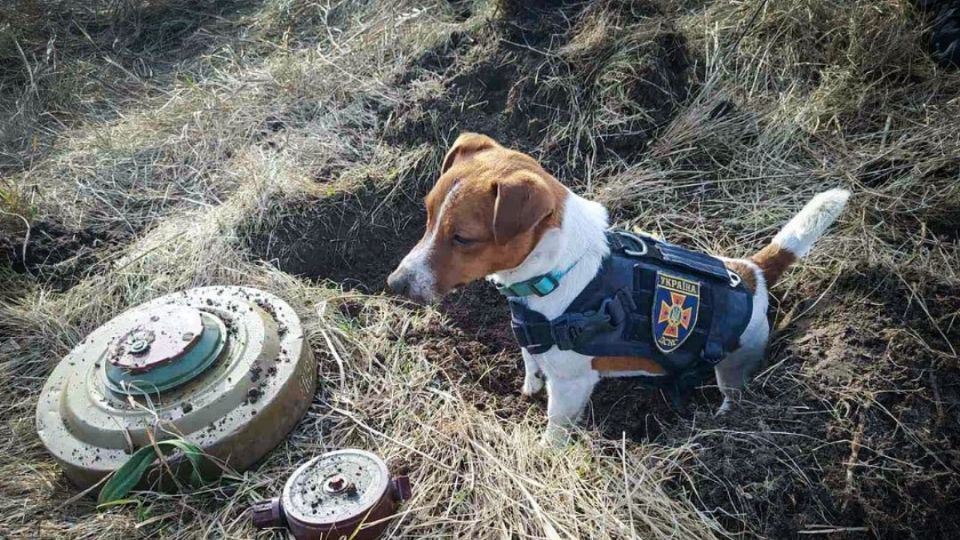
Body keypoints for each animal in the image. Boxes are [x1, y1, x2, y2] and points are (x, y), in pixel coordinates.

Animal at [386, 132, 852, 442]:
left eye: (463, 238)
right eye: (427, 215)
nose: (394, 283)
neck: (557, 270)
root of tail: (752, 271)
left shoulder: (571, 385)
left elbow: (555, 428)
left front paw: (545, 451)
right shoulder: (532, 341)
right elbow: (531, 364)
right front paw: (527, 388)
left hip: (736, 364)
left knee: (733, 393)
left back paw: (722, 419)